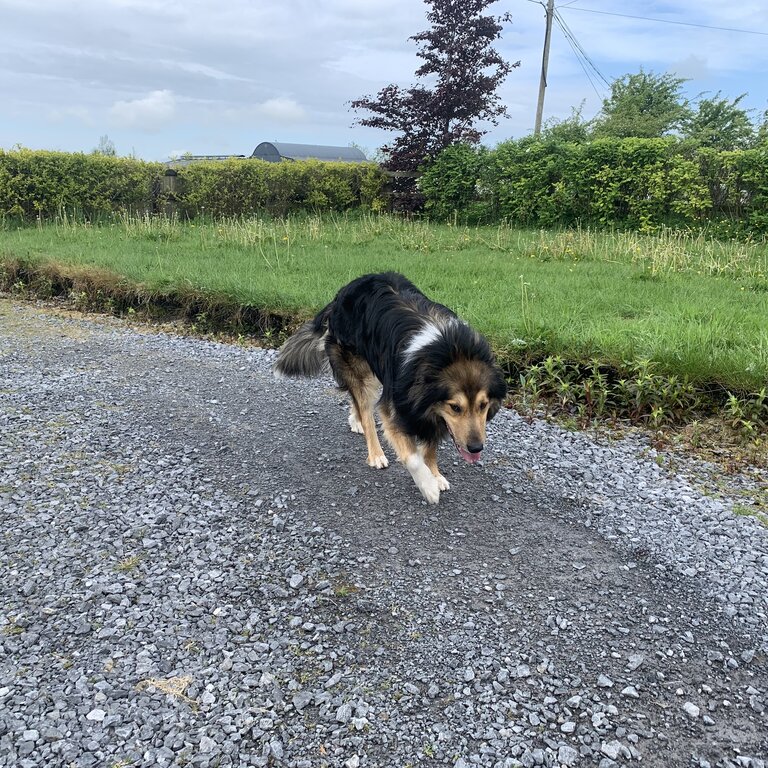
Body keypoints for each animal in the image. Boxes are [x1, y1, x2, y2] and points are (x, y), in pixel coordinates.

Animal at [272, 272, 508, 504]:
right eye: (455, 407)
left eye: (483, 405)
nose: (476, 448)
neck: (449, 350)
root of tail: (340, 296)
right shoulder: (396, 403)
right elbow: (412, 457)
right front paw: (428, 486)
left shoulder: (431, 411)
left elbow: (430, 447)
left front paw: (435, 475)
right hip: (356, 366)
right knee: (365, 409)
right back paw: (375, 452)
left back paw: (355, 420)